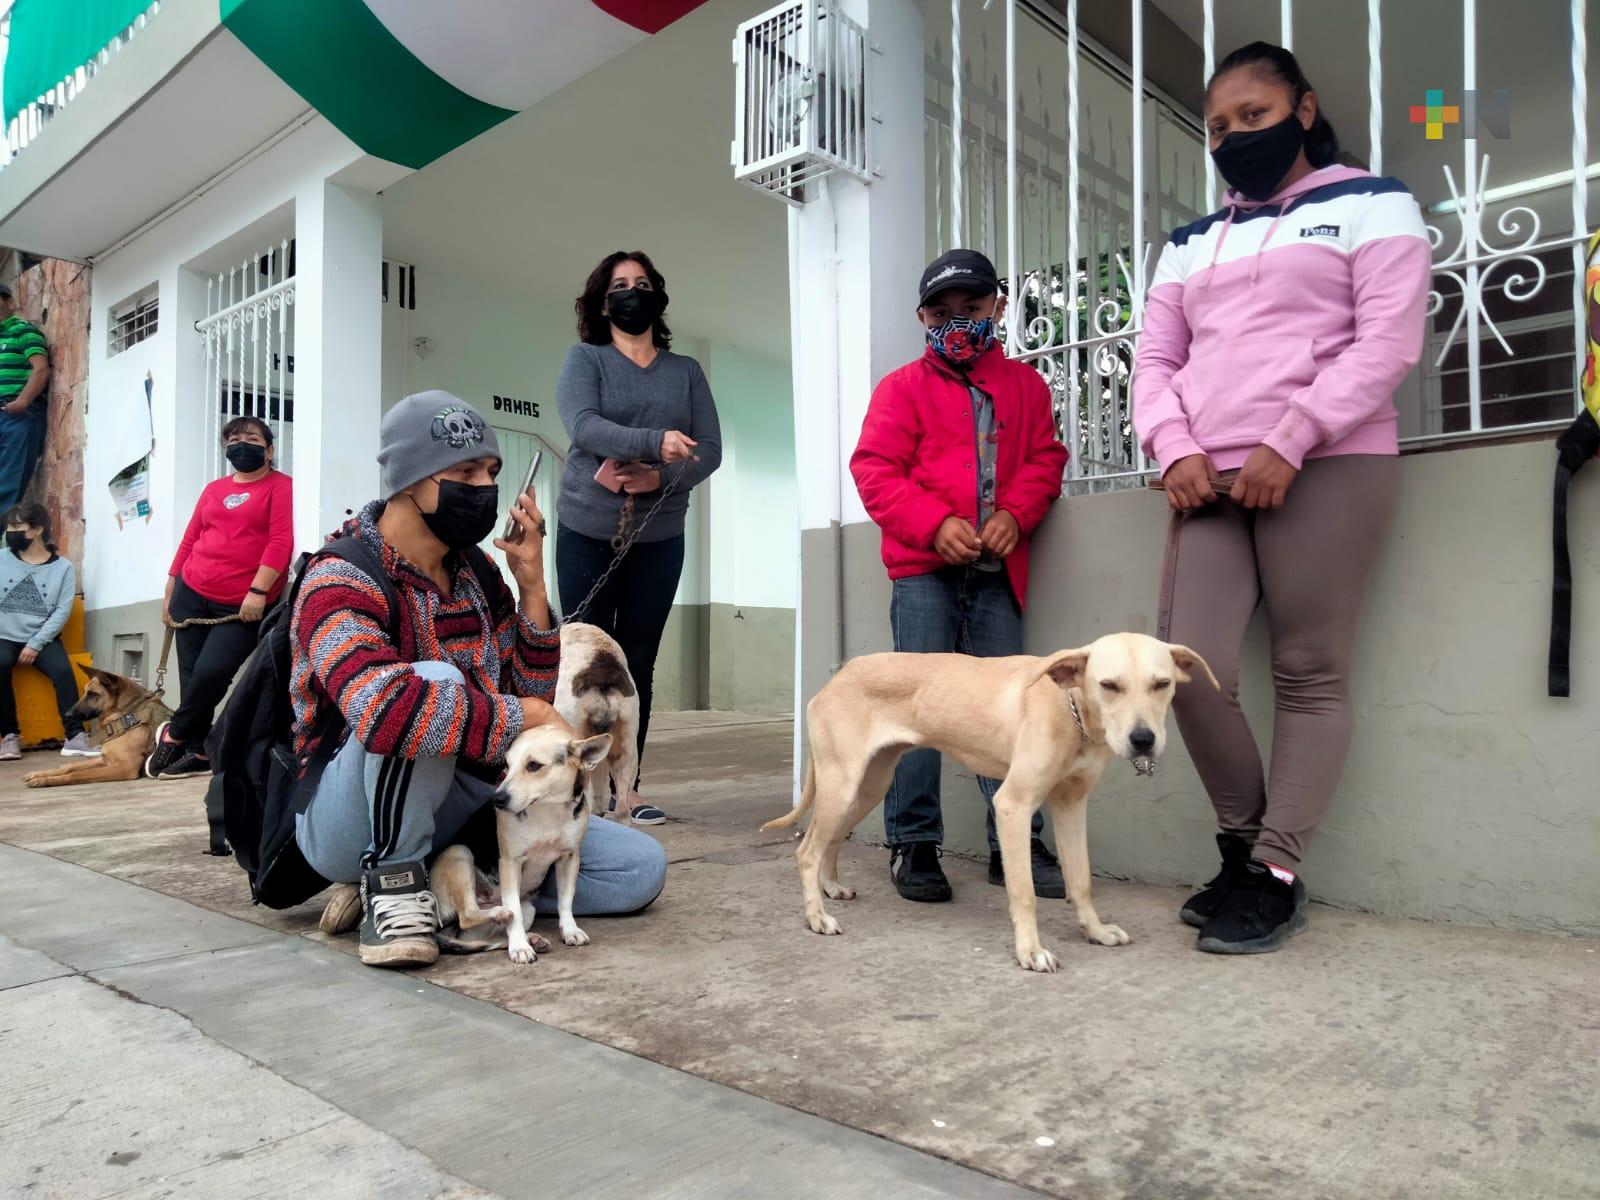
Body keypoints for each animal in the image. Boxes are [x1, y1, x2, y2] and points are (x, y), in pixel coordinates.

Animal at [20, 668, 172, 790]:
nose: (67, 715)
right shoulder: (105, 759)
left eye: (93, 694)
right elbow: (69, 766)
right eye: (85, 692)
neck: (127, 716)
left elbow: (77, 774)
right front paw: (39, 774)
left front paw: (44, 780)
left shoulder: (124, 767)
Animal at [428, 723, 608, 966]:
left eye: (534, 765)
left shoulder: (569, 857)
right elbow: (514, 910)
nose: (497, 799)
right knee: (473, 914)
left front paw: (570, 930)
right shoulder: (510, 863)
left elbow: (565, 900)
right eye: (507, 765)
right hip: (460, 852)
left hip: (528, 908)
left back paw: (532, 939)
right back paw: (504, 919)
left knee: (491, 934)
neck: (546, 810)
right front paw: (520, 948)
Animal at [761, 633, 1209, 972]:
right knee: (806, 850)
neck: (1070, 708)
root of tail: (839, 676)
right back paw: (816, 916)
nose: (1143, 740)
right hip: (843, 784)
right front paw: (1030, 951)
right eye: (1109, 685)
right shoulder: (1012, 805)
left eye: (1162, 684)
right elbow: (1024, 891)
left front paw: (1095, 931)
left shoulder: (1071, 805)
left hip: (867, 786)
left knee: (831, 840)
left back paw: (831, 887)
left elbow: (1080, 879)